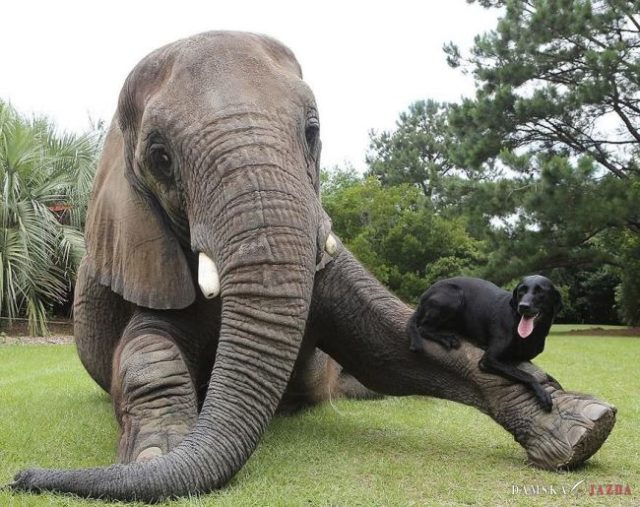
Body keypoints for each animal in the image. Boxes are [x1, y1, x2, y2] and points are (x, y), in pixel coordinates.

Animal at [410, 276, 560, 410]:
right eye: (521, 291)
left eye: (540, 291)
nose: (523, 306)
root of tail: (425, 295)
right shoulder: (489, 359)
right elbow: (526, 375)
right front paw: (542, 394)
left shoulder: (525, 359)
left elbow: (543, 373)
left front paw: (554, 381)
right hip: (454, 296)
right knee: (423, 328)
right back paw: (447, 339)